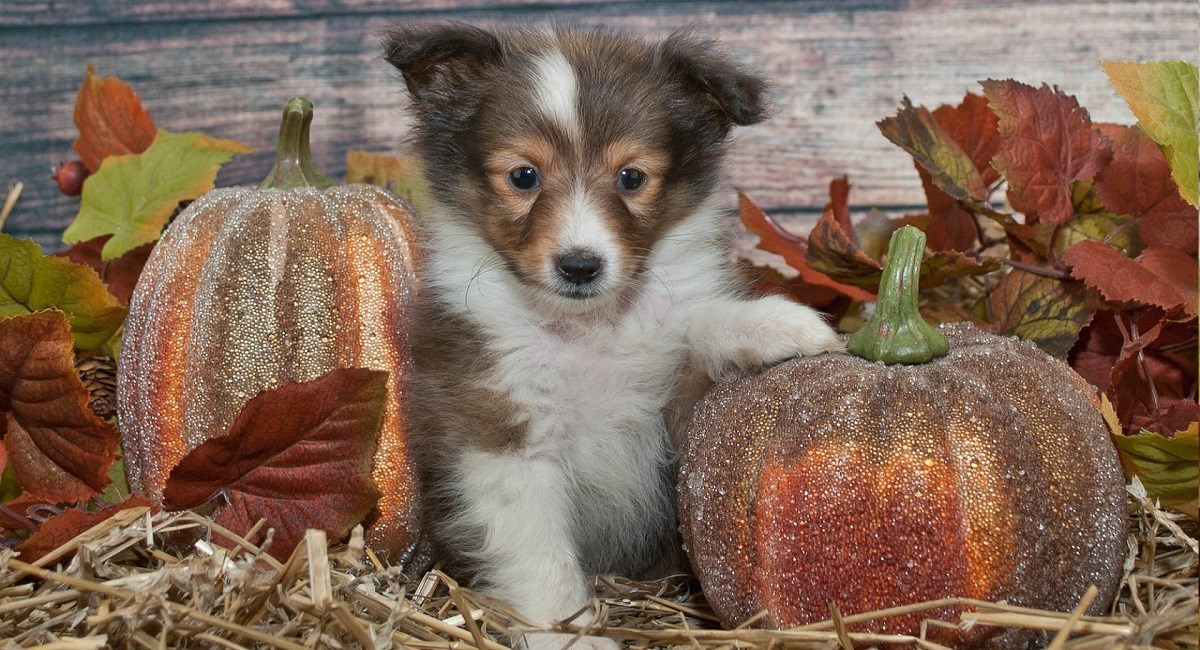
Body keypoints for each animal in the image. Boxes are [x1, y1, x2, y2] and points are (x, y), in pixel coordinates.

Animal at [384, 21, 844, 650]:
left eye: (631, 177)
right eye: (524, 176)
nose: (580, 266)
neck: (589, 332)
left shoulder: (673, 413)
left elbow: (694, 325)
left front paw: (775, 324)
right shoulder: (500, 431)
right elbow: (540, 554)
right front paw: (566, 632)